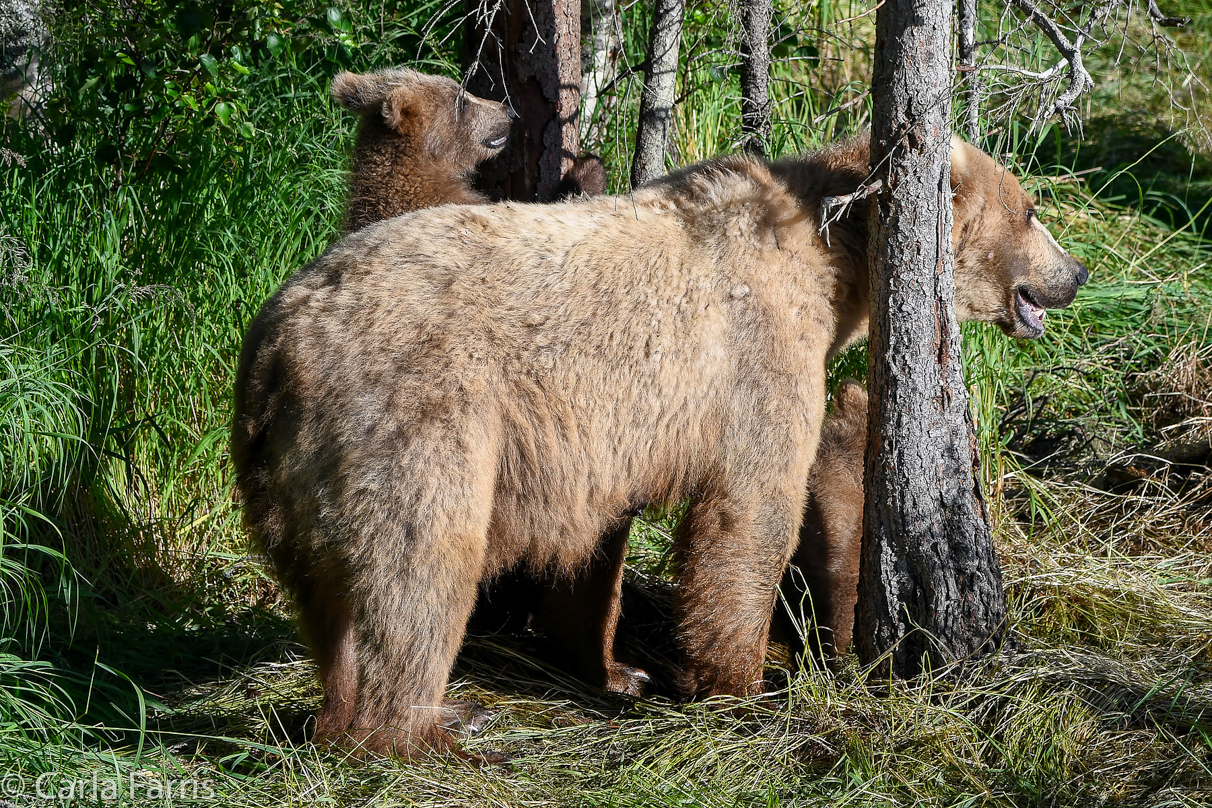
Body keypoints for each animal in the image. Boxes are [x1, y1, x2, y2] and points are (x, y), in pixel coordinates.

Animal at [231, 135, 1085, 760]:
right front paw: (740, 681)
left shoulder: (600, 440)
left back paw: (342, 712)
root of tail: (276, 342)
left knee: (327, 592)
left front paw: (619, 669)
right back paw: (427, 727)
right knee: (419, 562)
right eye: (1031, 208)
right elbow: (751, 506)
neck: (835, 258)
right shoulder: (752, 349)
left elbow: (594, 545)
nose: (1075, 273)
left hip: (289, 467)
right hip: (411, 414)